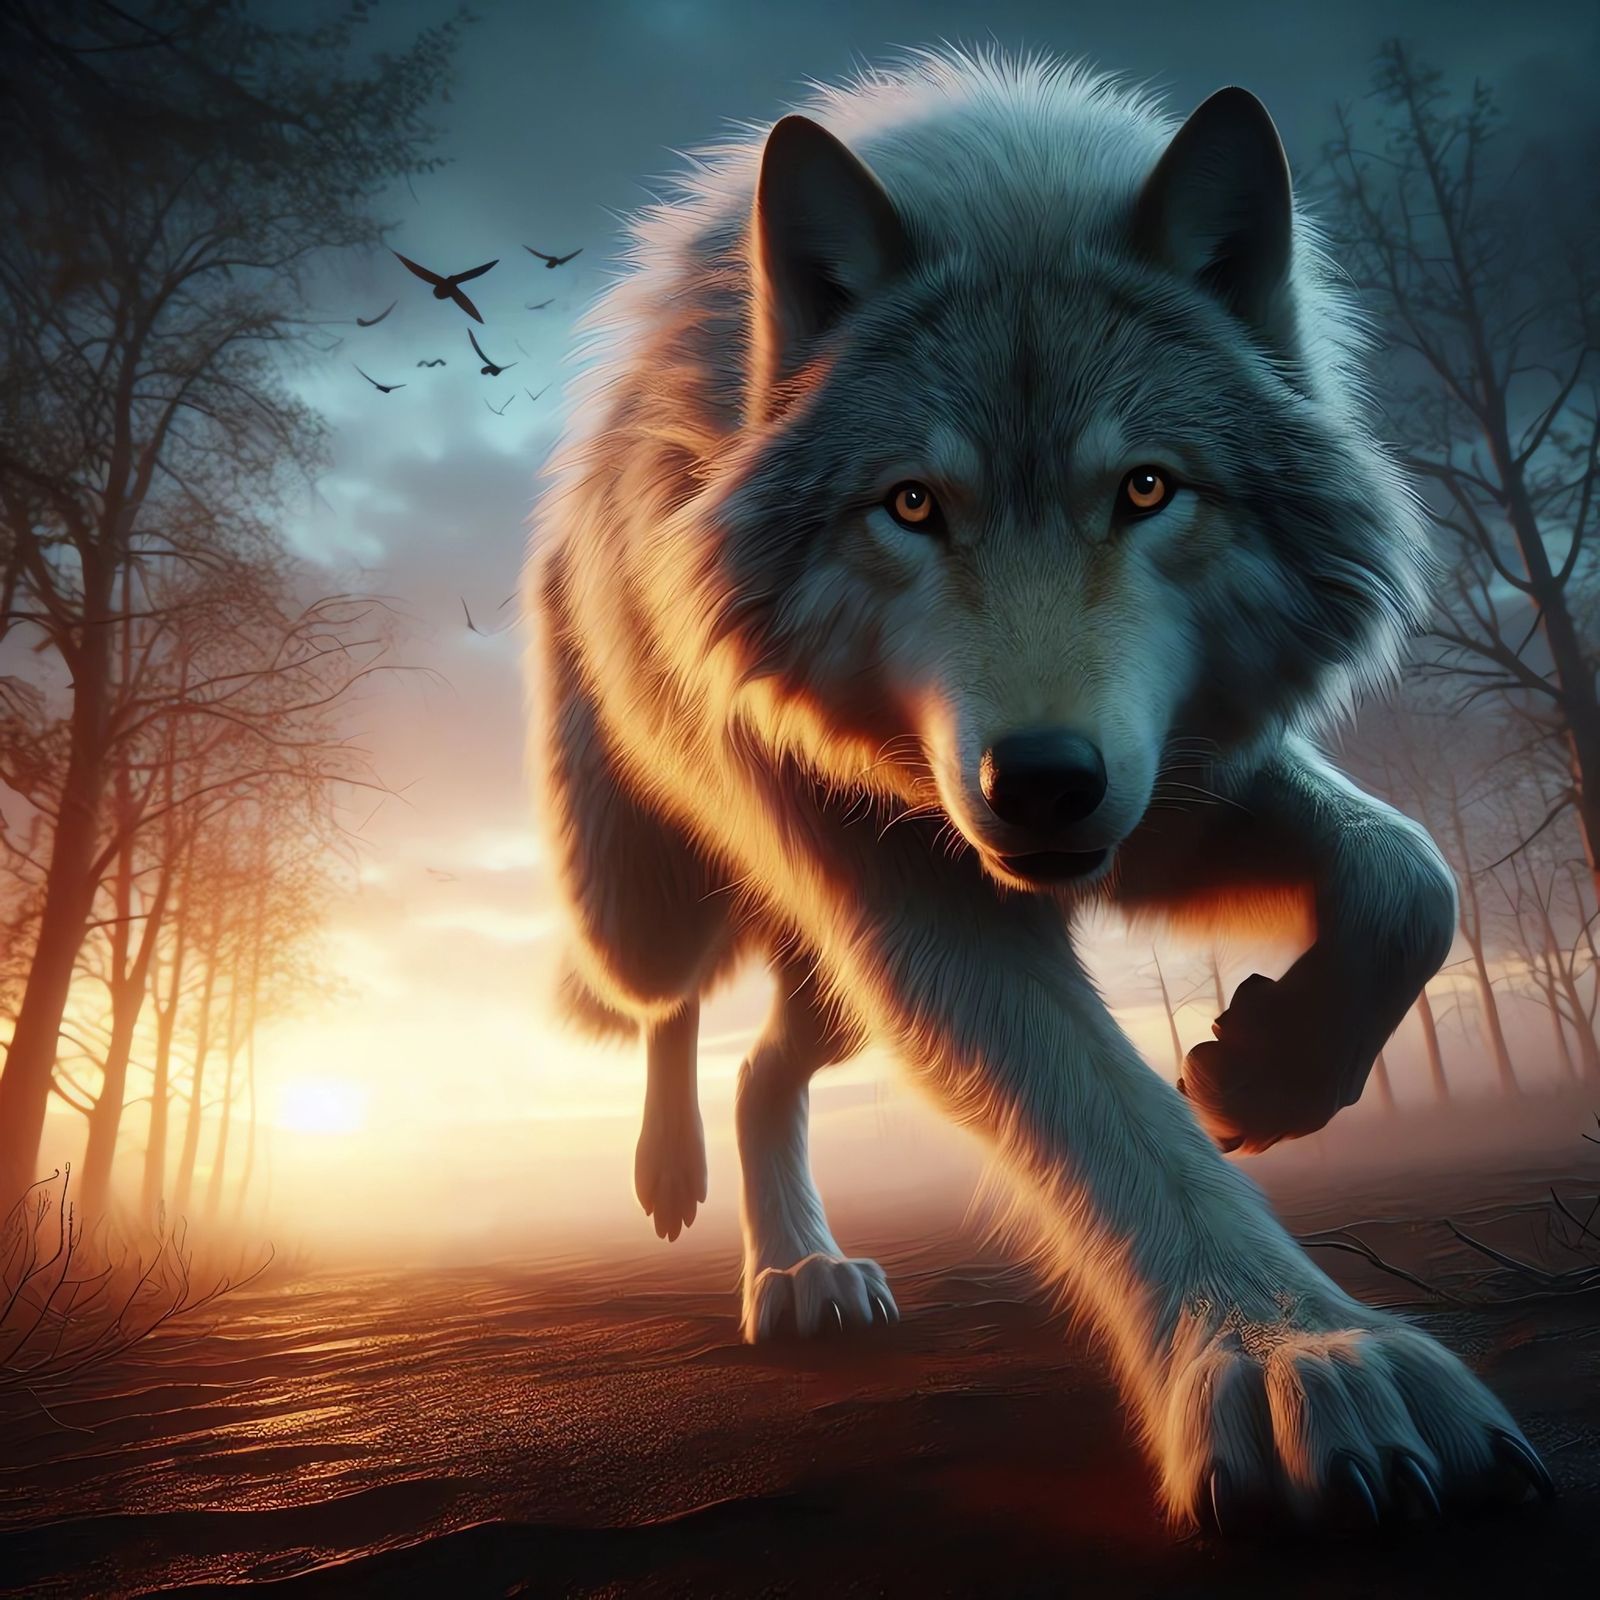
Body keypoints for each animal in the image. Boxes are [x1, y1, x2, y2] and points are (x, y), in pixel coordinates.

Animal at [523, 48, 1553, 1530]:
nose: (1044, 784)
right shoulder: (921, 891)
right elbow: (1112, 1120)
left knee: (770, 1067)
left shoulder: (1178, 786)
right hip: (657, 914)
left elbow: (1412, 875)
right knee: (667, 1008)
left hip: (841, 975)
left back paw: (799, 1273)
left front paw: (1270, 1074)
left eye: (1146, 488)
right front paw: (1301, 1360)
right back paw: (677, 1179)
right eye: (910, 503)